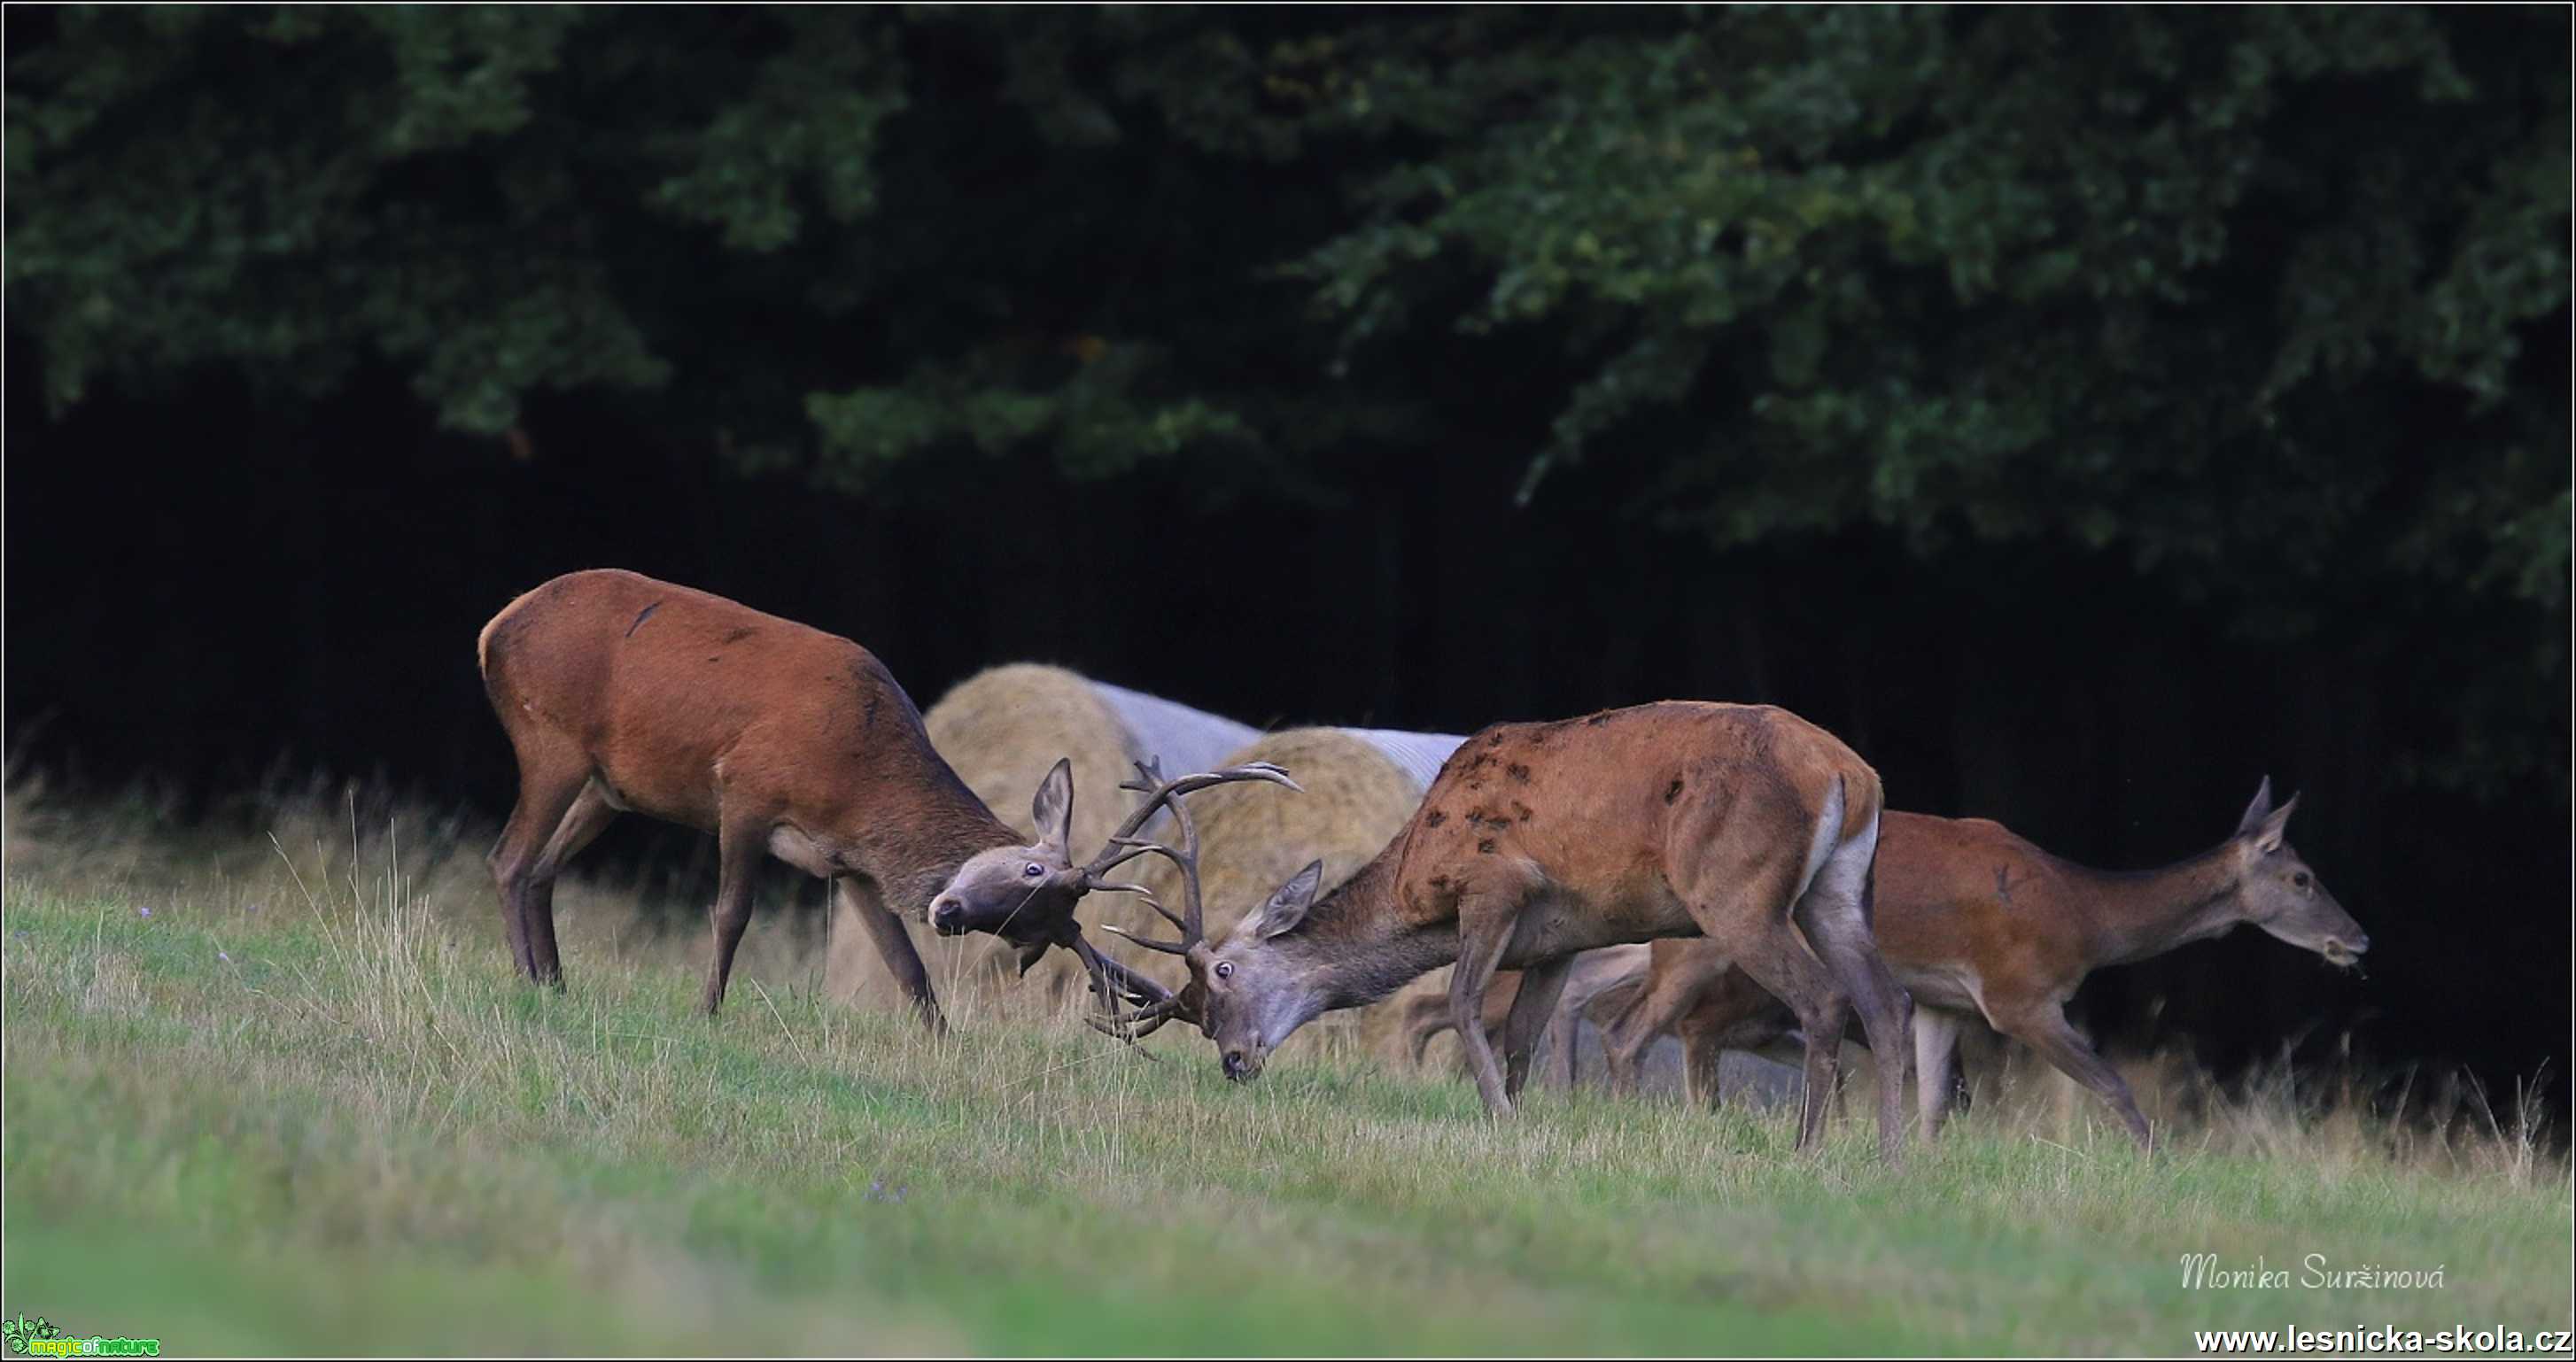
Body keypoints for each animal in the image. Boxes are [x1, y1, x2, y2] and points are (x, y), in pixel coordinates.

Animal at [476, 569, 1288, 1025]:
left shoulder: (852, 864)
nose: (951, 912)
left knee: (542, 868)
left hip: (607, 785)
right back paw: (526, 980)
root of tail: (495, 626)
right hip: (550, 737)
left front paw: (941, 1039)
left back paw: (553, 984)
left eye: (1028, 936)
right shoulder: (745, 788)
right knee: (509, 859)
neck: (860, 776)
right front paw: (707, 1011)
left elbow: (906, 965)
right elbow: (731, 914)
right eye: (1030, 873)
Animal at [1097, 700, 1927, 1158]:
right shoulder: (1561, 938)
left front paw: (1496, 1115)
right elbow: (1524, 1035)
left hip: (1736, 890)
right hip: (1838, 890)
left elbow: (1468, 1006)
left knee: (1825, 1000)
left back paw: (1808, 1148)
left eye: (1224, 973)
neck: (1415, 880)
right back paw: (1891, 1158)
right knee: (1888, 1003)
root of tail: (1852, 775)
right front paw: (1522, 1117)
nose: (1234, 1061)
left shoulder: (1496, 884)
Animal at [1607, 782, 2370, 1142]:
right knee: (1632, 1031)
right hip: (1700, 944)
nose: (2359, 939)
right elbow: (2114, 1085)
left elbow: (1938, 1104)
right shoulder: (2017, 995)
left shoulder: (1945, 1000)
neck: (2088, 918)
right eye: (2302, 877)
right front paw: (2162, 1168)